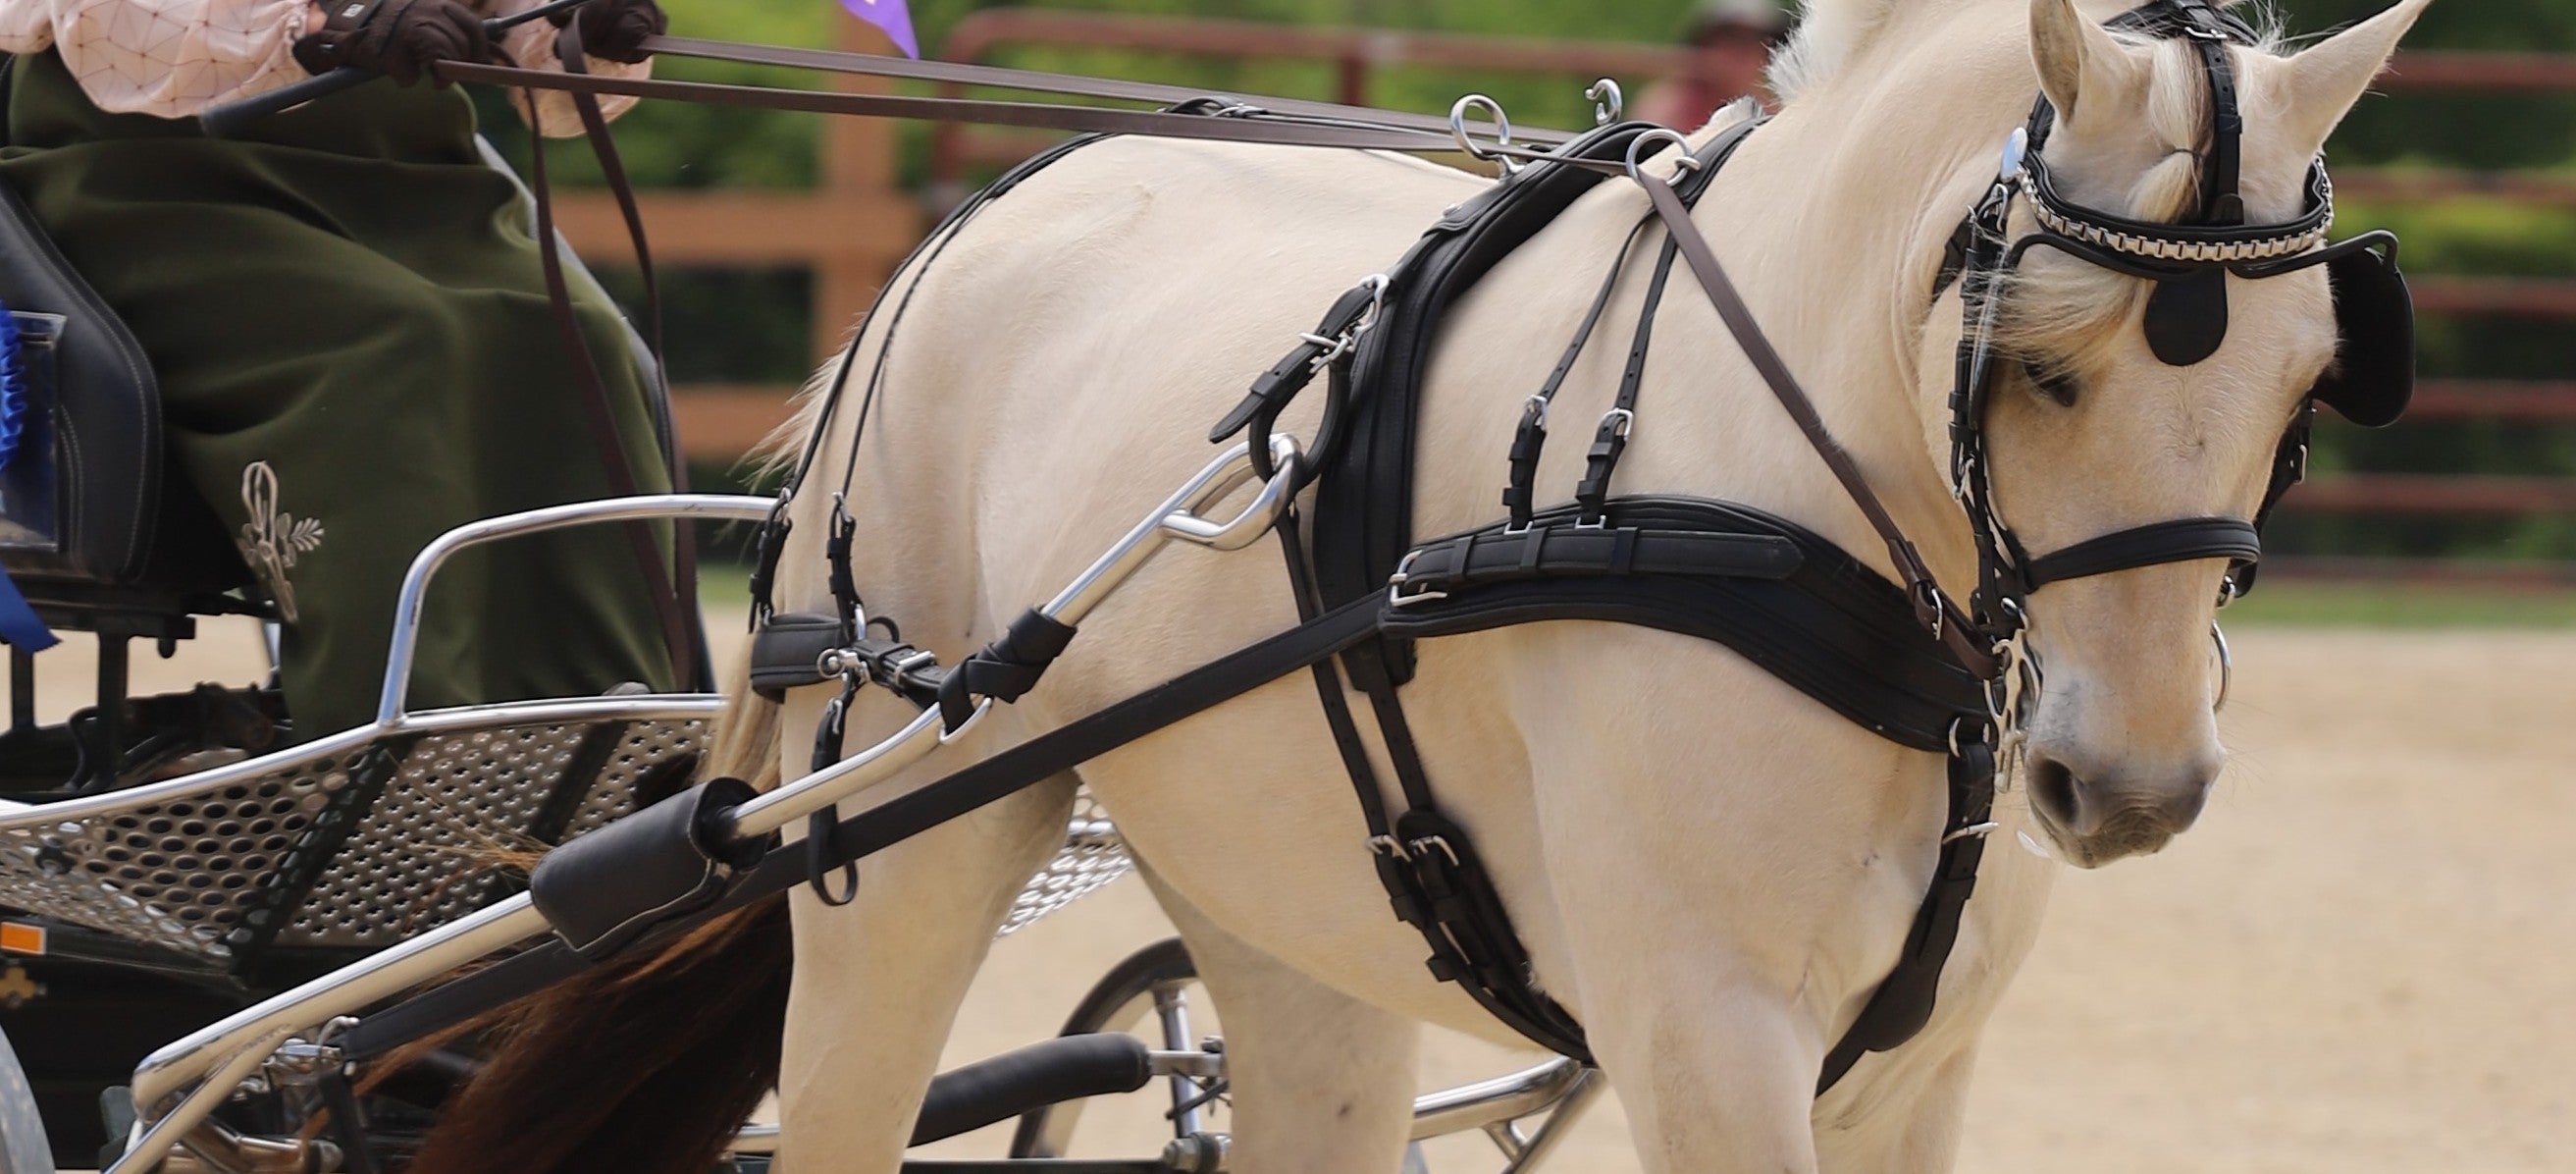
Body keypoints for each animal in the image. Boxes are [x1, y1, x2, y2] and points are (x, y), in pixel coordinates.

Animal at [406, 1, 2432, 1170]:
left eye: (2302, 381)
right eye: (2038, 363)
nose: (2134, 780)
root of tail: (987, 212)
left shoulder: (1909, 1077)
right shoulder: (1712, 1044)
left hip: (1286, 916)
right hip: (898, 857)